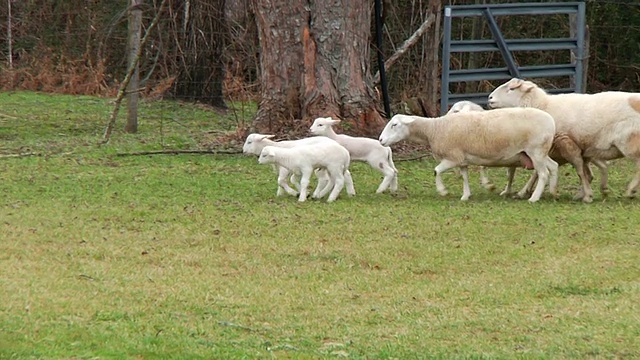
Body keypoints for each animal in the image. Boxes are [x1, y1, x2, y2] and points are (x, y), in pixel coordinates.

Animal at [378, 107, 556, 202]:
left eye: (394, 125)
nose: (380, 140)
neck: (434, 130)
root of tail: (551, 121)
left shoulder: (452, 158)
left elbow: (436, 171)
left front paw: (442, 191)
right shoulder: (461, 159)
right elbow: (464, 177)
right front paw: (465, 195)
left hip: (536, 151)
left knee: (543, 173)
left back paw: (534, 198)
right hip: (539, 153)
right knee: (553, 167)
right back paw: (554, 192)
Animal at [488, 77, 636, 198]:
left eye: (511, 89)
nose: (489, 98)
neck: (543, 105)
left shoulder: (543, 146)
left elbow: (538, 171)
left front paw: (525, 191)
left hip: (629, 142)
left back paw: (630, 190)